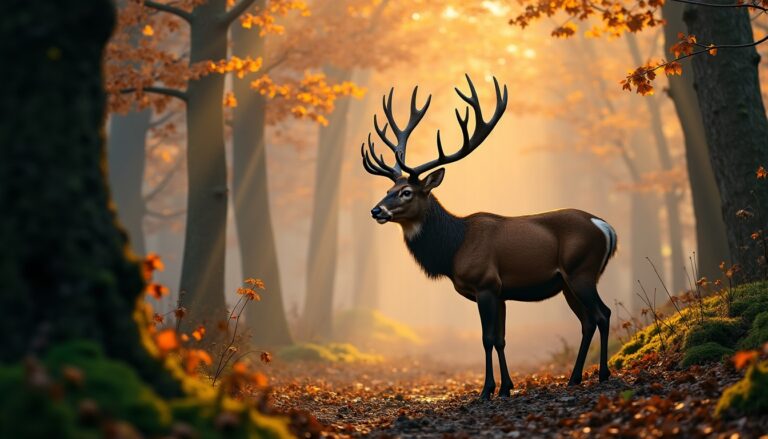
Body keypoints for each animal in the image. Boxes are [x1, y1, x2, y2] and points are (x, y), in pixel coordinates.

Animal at [360, 75, 618, 400]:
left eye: (406, 192)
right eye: (388, 190)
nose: (376, 210)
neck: (453, 249)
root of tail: (606, 227)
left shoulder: (484, 282)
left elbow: (486, 338)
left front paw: (487, 390)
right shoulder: (501, 291)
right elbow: (501, 339)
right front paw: (507, 387)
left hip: (582, 270)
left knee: (603, 314)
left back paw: (603, 374)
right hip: (568, 282)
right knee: (587, 321)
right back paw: (574, 378)